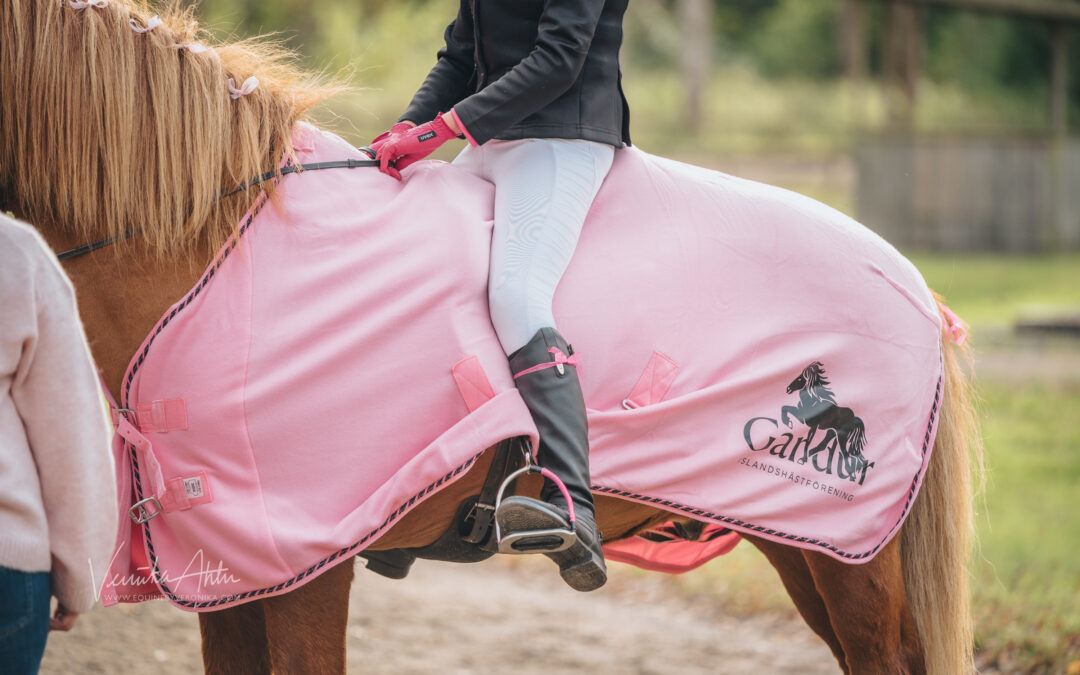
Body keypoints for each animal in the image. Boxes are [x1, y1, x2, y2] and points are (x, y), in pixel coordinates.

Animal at [0, 2, 980, 669]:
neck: (226, 245)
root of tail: (916, 287)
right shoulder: (228, 575)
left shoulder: (308, 565)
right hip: (808, 545)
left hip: (851, 552)